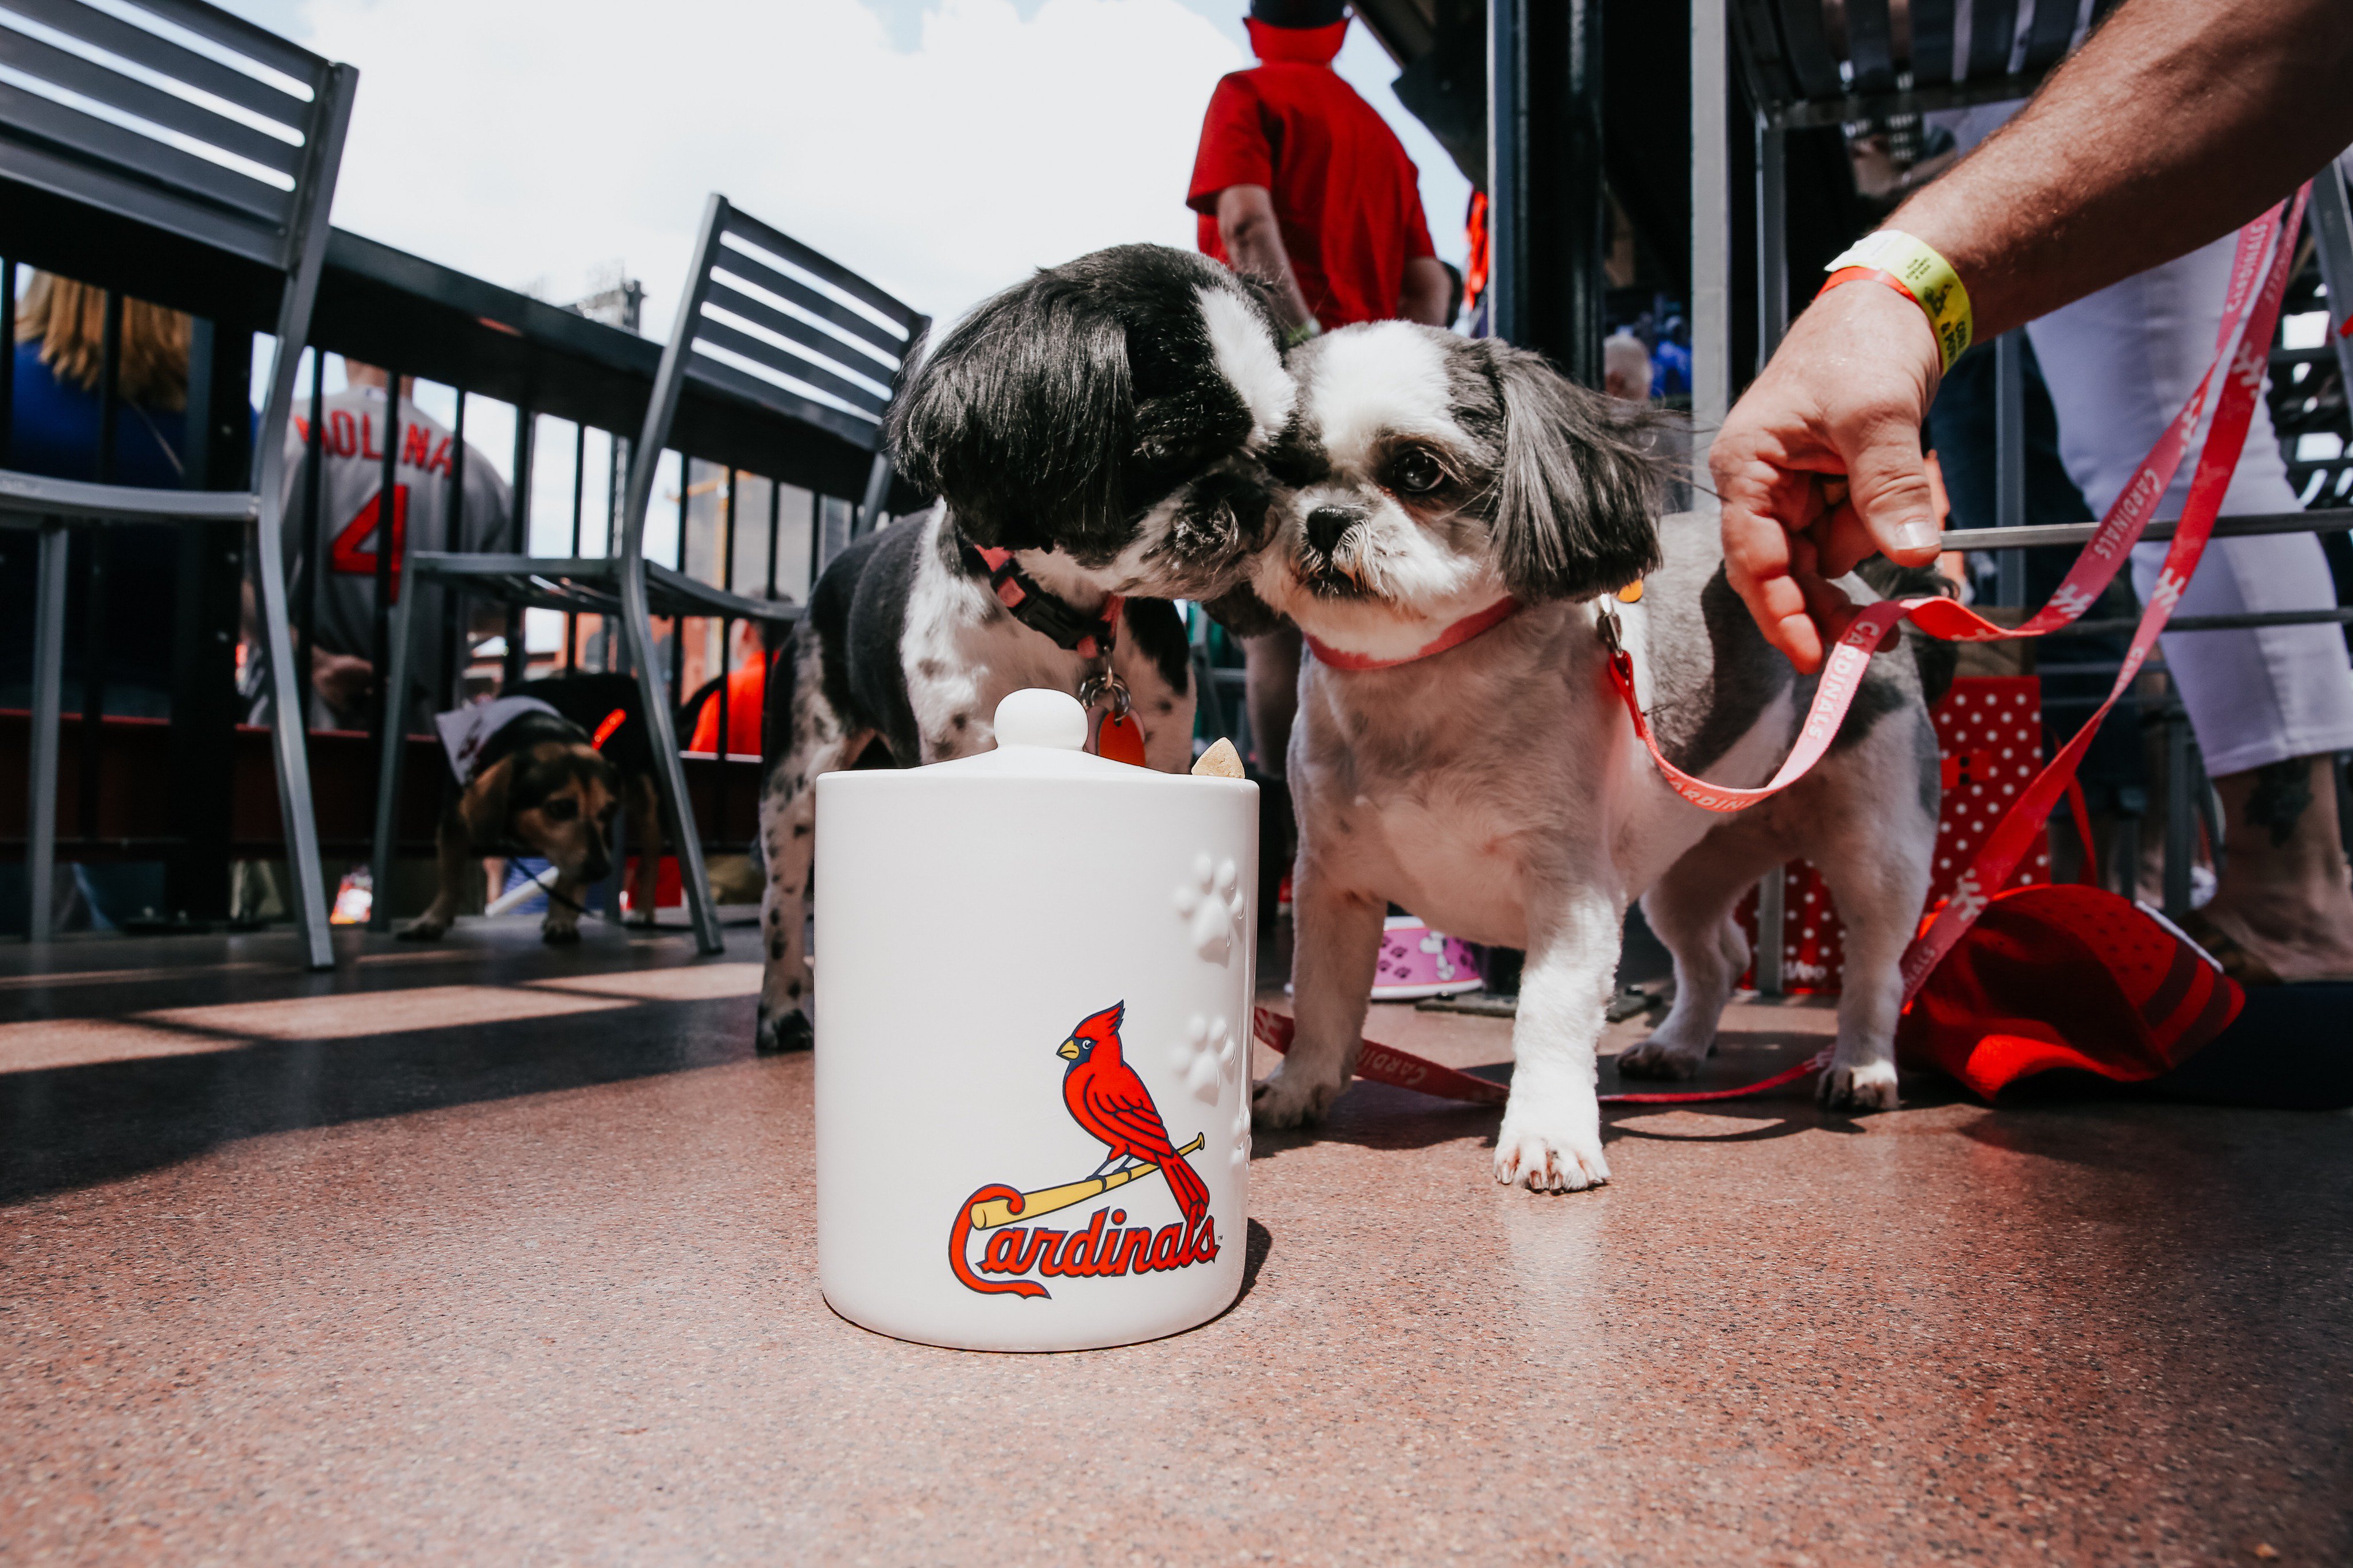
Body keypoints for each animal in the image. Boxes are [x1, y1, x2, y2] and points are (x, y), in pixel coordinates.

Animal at [753, 245, 1289, 1053]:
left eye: (1272, 448)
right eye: (1172, 451)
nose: (1254, 498)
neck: (1066, 619)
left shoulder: (1165, 749)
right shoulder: (966, 740)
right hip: (798, 774)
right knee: (782, 897)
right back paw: (782, 1004)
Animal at [1252, 324, 1948, 1194]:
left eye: (1418, 470)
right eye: (1283, 470)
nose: (1325, 518)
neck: (1418, 687)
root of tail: (1857, 594)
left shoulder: (1571, 894)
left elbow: (1548, 1014)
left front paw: (1548, 1134)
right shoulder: (1333, 885)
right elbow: (1321, 998)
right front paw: (1298, 1088)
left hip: (1877, 846)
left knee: (1876, 967)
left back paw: (1862, 1066)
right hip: (1684, 874)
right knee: (1717, 956)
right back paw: (1676, 1046)